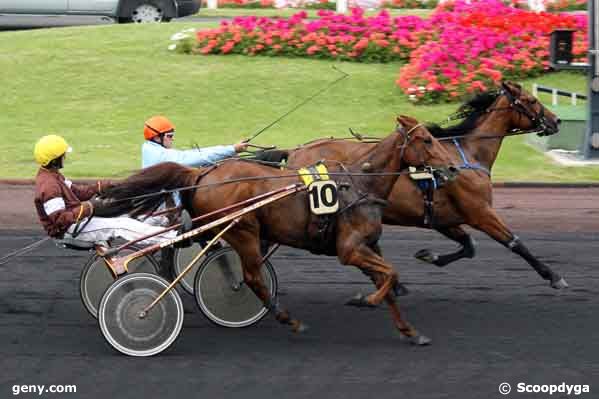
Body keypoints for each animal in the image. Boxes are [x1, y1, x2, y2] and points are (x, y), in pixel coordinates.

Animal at [103, 117, 458, 346]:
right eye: (427, 139)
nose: (454, 167)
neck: (360, 184)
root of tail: (201, 175)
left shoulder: (369, 246)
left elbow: (389, 280)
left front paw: (410, 331)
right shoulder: (350, 250)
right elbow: (389, 275)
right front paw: (363, 300)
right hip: (243, 229)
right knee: (250, 277)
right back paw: (288, 319)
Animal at [284, 82, 568, 294]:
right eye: (532, 100)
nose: (556, 120)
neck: (467, 154)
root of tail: (295, 151)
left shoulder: (443, 218)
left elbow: (469, 246)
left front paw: (428, 256)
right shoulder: (480, 212)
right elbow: (515, 243)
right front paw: (554, 276)